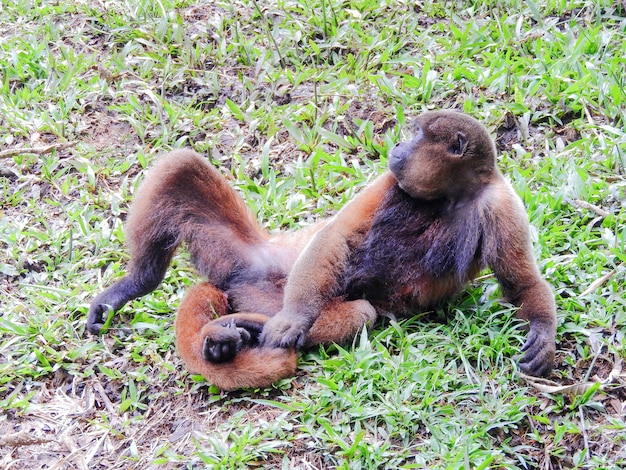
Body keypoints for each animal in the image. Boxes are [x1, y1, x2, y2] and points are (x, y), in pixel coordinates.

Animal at [89, 110, 556, 390]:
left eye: (418, 137)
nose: (397, 147)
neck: (448, 197)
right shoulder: (390, 180)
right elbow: (336, 237)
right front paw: (295, 320)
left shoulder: (502, 204)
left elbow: (521, 283)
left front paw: (543, 332)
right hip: (254, 260)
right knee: (181, 166)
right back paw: (138, 284)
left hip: (258, 286)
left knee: (362, 311)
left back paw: (242, 331)